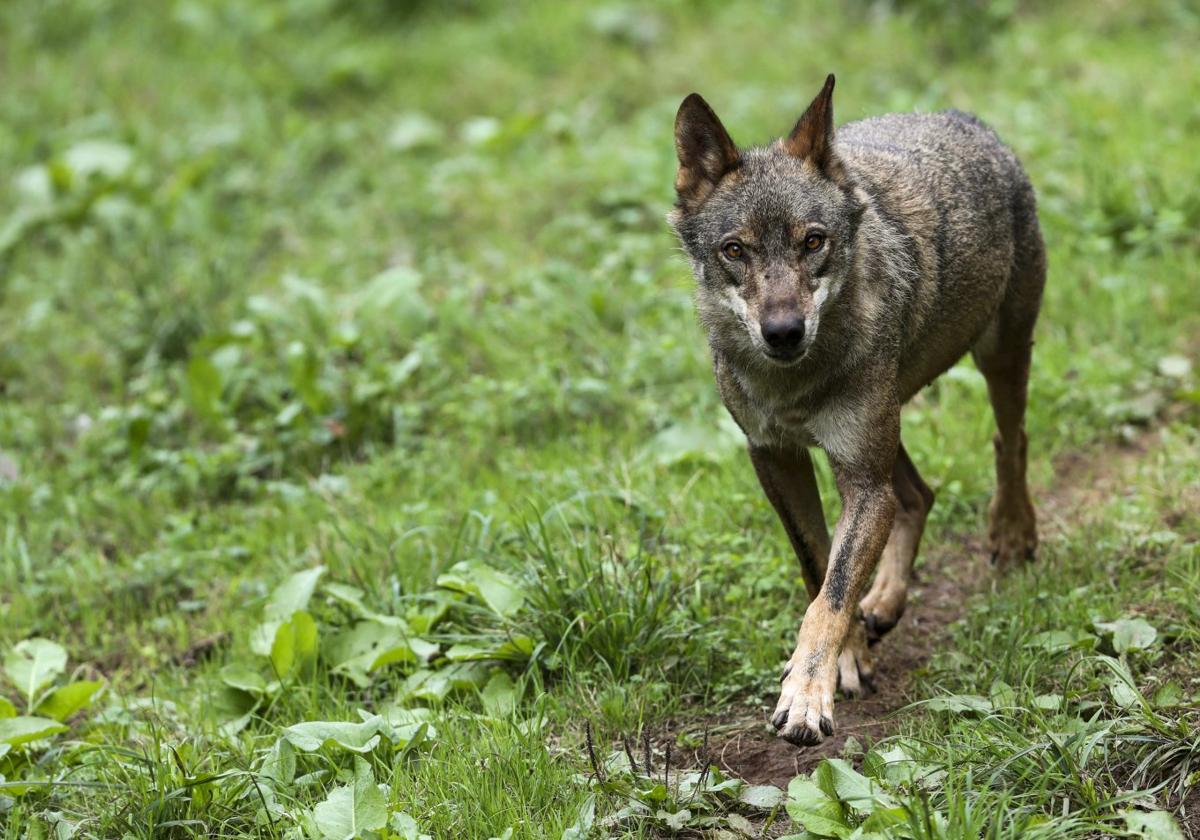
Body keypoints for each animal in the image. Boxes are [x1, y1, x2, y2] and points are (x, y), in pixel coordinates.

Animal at [672, 75, 1046, 744]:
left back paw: (1011, 533)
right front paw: (847, 659)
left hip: (995, 361)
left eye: (813, 241)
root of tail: (963, 118)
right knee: (919, 493)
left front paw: (805, 695)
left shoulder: (862, 483)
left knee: (1011, 441)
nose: (784, 332)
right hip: (887, 429)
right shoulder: (776, 459)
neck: (794, 386)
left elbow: (832, 593)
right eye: (735, 250)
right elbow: (818, 566)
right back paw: (887, 603)